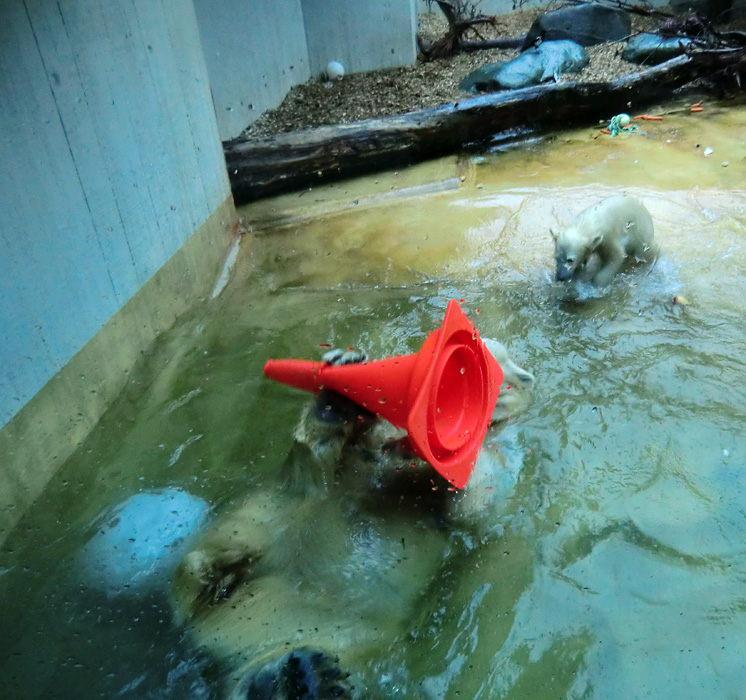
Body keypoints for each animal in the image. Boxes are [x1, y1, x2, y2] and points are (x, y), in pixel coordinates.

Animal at [171, 336, 532, 696]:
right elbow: (358, 447)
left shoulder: (503, 460)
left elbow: (472, 512)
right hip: (265, 513)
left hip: (323, 625)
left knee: (306, 655)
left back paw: (306, 676)